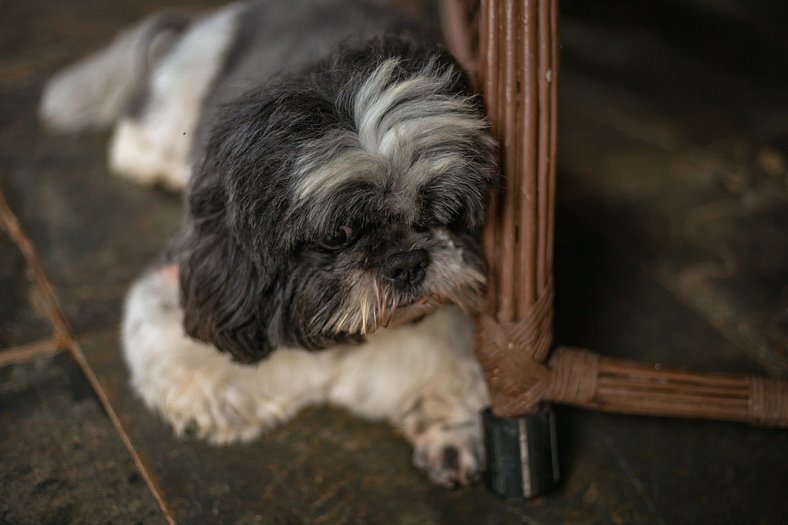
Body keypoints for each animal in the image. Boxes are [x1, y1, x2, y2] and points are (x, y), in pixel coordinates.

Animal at [40, 0, 498, 488]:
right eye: (337, 234)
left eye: (440, 212)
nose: (406, 262)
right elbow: (201, 383)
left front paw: (451, 435)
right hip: (168, 113)